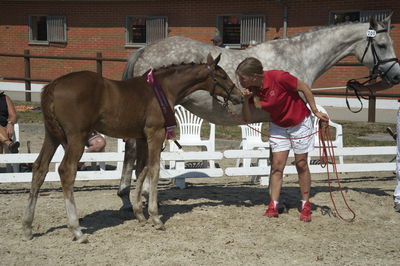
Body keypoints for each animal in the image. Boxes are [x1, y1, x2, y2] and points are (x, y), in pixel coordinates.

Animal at [23, 54, 242, 243]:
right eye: (223, 75)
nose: (238, 96)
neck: (162, 90)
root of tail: (53, 85)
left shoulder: (141, 137)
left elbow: (141, 170)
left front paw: (139, 214)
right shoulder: (155, 134)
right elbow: (153, 169)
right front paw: (155, 217)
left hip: (51, 136)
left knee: (39, 168)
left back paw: (27, 227)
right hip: (77, 137)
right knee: (66, 170)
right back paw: (76, 230)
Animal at [116, 16, 400, 212]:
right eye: (382, 44)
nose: (396, 75)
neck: (298, 56)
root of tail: (144, 50)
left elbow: (274, 159)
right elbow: (278, 161)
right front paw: (276, 201)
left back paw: (129, 199)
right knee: (136, 153)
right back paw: (137, 198)